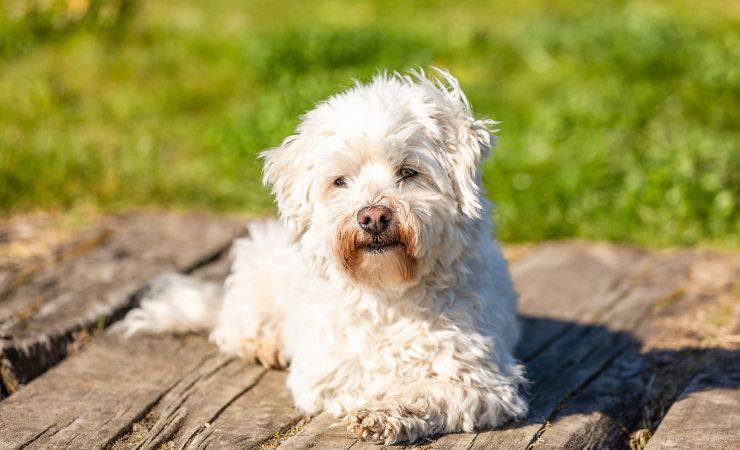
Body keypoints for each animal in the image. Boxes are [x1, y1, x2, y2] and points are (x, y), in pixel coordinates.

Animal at [117, 69, 528, 442]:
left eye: (409, 172)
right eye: (340, 181)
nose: (373, 216)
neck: (389, 292)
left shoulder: (484, 381)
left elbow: (430, 391)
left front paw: (386, 413)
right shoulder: (325, 371)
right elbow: (361, 380)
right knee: (230, 328)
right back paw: (263, 345)